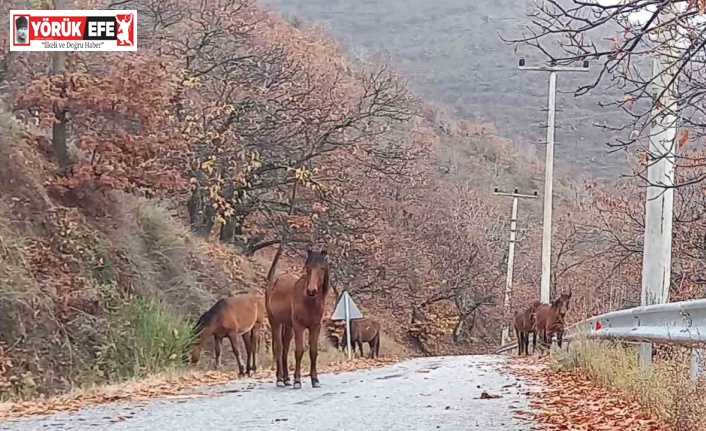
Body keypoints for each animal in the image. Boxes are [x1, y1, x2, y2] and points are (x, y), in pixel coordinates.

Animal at [266, 246, 332, 392]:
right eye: (307, 267)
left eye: (322, 268)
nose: (311, 291)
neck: (309, 301)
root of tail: (274, 281)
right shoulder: (299, 327)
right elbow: (299, 351)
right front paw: (297, 381)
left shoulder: (315, 327)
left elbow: (313, 351)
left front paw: (315, 380)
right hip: (275, 322)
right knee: (279, 347)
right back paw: (280, 379)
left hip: (288, 326)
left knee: (285, 349)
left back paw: (286, 379)